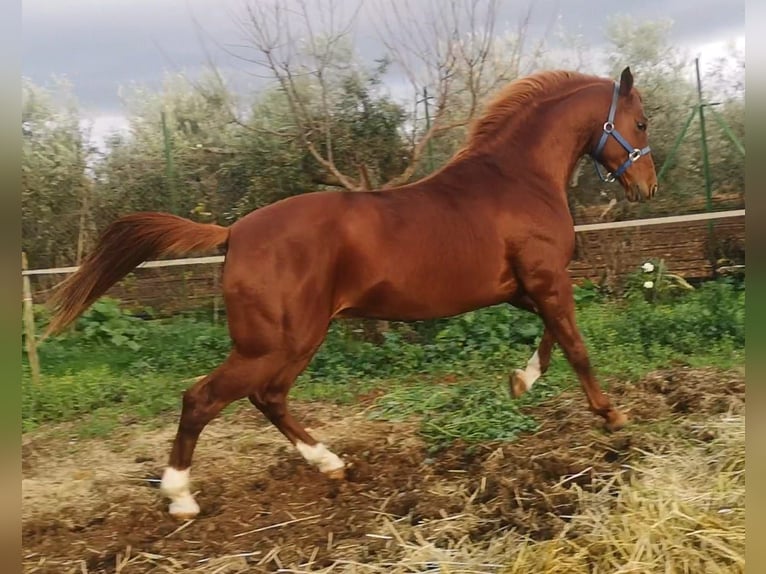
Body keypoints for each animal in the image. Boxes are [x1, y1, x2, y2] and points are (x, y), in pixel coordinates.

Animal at [46, 67, 660, 520]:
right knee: (205, 397)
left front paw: (519, 381)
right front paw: (612, 416)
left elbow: (553, 340)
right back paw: (180, 498)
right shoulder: (546, 279)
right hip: (277, 342)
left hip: (295, 341)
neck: (516, 179)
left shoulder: (524, 288)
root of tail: (234, 233)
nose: (648, 185)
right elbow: (575, 344)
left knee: (267, 397)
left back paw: (330, 464)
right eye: (642, 121)